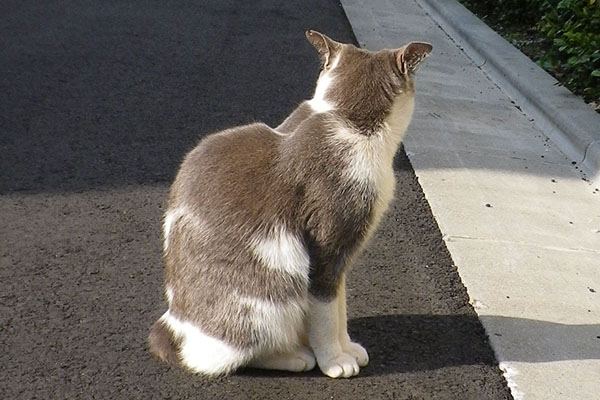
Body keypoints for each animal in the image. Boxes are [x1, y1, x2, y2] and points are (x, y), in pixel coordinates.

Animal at [149, 30, 432, 378]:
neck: (344, 117)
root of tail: (174, 323)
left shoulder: (342, 260)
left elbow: (340, 307)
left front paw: (347, 346)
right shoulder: (325, 251)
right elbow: (325, 314)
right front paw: (334, 360)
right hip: (276, 284)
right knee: (226, 357)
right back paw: (295, 356)